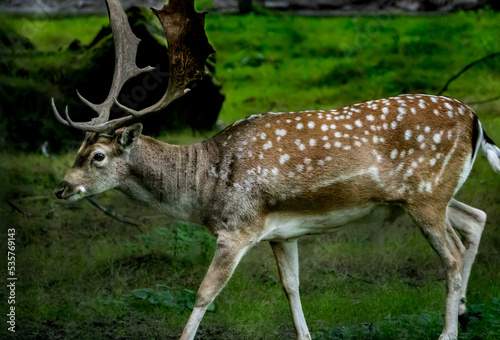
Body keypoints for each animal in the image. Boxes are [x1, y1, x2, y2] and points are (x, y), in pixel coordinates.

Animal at [51, 0, 500, 340]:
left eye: (98, 156)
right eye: (77, 150)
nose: (61, 188)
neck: (203, 187)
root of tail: (476, 119)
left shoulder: (237, 228)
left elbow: (203, 293)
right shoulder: (283, 233)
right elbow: (292, 287)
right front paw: (306, 335)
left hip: (426, 195)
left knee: (453, 253)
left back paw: (447, 331)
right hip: (431, 194)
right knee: (476, 218)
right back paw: (463, 310)